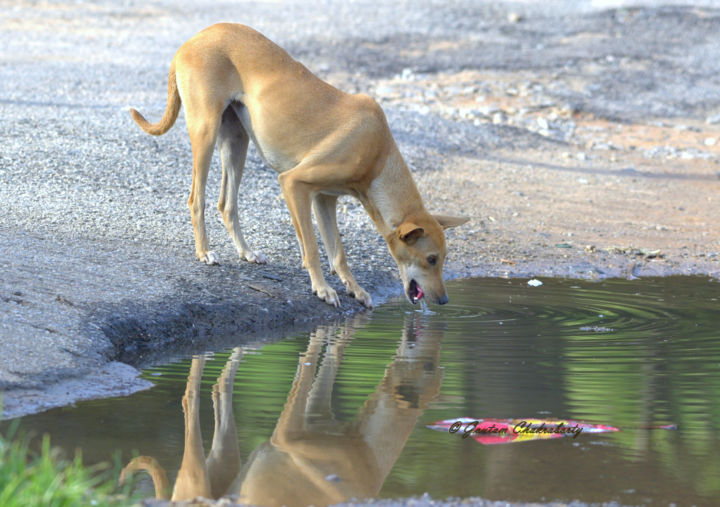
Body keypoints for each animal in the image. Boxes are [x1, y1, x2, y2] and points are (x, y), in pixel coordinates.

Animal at [129, 23, 466, 308]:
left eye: (443, 258)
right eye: (431, 259)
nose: (444, 301)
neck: (378, 157)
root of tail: (191, 40)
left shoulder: (325, 199)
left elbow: (338, 253)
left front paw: (354, 289)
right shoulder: (294, 183)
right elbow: (314, 247)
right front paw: (323, 289)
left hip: (236, 142)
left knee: (226, 204)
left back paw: (246, 252)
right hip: (205, 132)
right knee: (195, 199)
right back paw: (204, 252)